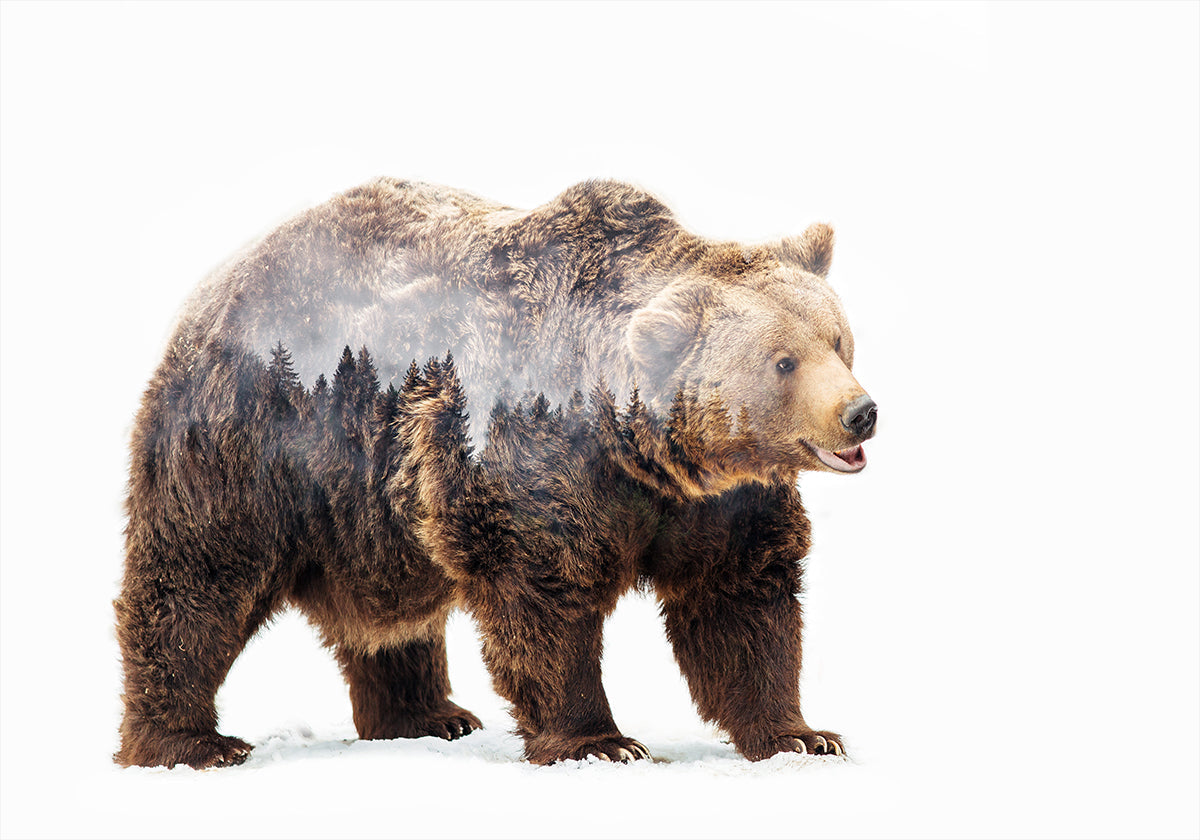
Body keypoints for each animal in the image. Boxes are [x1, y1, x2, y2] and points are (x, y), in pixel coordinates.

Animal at [114, 178, 877, 768]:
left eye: (839, 340)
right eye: (783, 361)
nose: (860, 413)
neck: (642, 450)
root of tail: (216, 283)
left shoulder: (718, 503)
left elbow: (741, 601)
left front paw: (802, 734)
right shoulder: (533, 455)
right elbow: (543, 594)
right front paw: (600, 740)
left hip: (370, 507)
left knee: (390, 615)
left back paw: (428, 715)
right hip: (253, 439)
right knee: (199, 578)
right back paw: (189, 741)